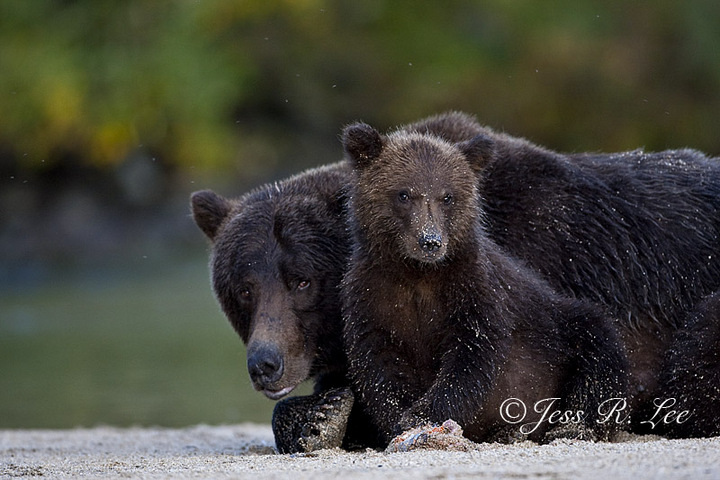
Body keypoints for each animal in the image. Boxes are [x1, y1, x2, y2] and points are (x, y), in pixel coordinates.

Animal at [340, 123, 629, 446]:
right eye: (403, 194)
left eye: (447, 196)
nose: (430, 241)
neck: (418, 273)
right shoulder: (372, 295)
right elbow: (379, 363)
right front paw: (400, 420)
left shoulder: (474, 288)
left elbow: (472, 354)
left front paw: (423, 414)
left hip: (559, 328)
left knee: (598, 343)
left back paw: (570, 427)